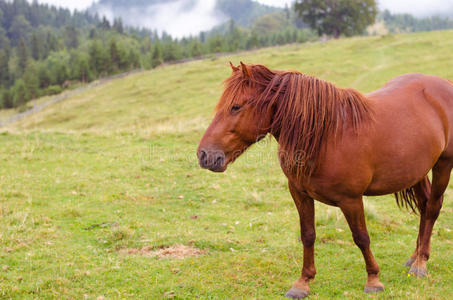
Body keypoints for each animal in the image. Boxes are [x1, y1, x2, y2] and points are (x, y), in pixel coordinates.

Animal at [197, 62, 452, 298]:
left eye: (236, 106)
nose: (204, 155)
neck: (327, 136)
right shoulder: (300, 194)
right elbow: (308, 235)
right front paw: (303, 283)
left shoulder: (351, 199)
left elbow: (361, 237)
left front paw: (373, 280)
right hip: (416, 171)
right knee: (424, 206)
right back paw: (414, 257)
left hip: (443, 164)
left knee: (432, 208)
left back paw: (420, 264)